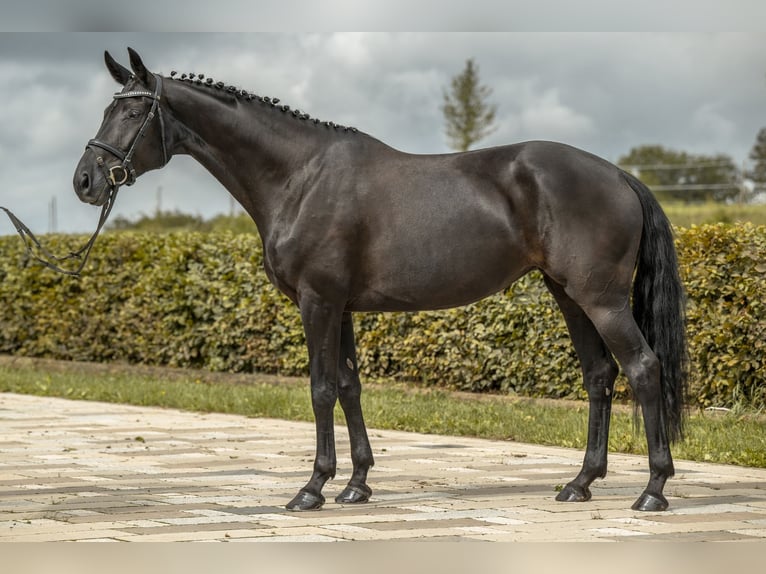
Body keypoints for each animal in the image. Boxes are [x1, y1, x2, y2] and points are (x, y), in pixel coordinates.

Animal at [73, 49, 688, 516]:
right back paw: (580, 483)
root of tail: (618, 174)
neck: (299, 177)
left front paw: (312, 489)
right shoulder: (339, 305)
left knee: (643, 367)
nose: (85, 181)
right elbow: (349, 387)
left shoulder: (317, 302)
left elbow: (321, 389)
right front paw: (356, 485)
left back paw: (653, 490)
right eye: (108, 108)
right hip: (569, 296)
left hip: (601, 300)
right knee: (600, 375)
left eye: (134, 111)